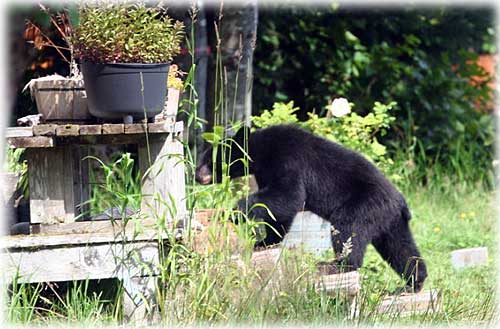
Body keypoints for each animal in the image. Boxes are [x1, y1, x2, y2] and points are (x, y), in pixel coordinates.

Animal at [195, 124, 426, 290]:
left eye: (209, 160)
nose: (196, 175)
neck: (261, 152)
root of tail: (400, 201)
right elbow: (280, 211)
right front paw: (264, 241)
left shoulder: (287, 160)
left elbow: (288, 195)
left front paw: (234, 212)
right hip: (389, 220)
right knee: (400, 248)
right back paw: (413, 283)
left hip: (364, 205)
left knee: (348, 230)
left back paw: (336, 264)